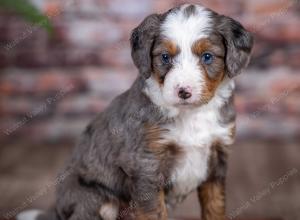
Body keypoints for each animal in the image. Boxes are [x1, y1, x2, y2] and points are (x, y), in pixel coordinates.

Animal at [17, 3, 253, 220]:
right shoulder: (145, 165)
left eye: (207, 56)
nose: (183, 92)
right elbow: (154, 213)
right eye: (165, 57)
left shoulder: (217, 160)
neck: (191, 115)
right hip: (94, 197)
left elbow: (215, 207)